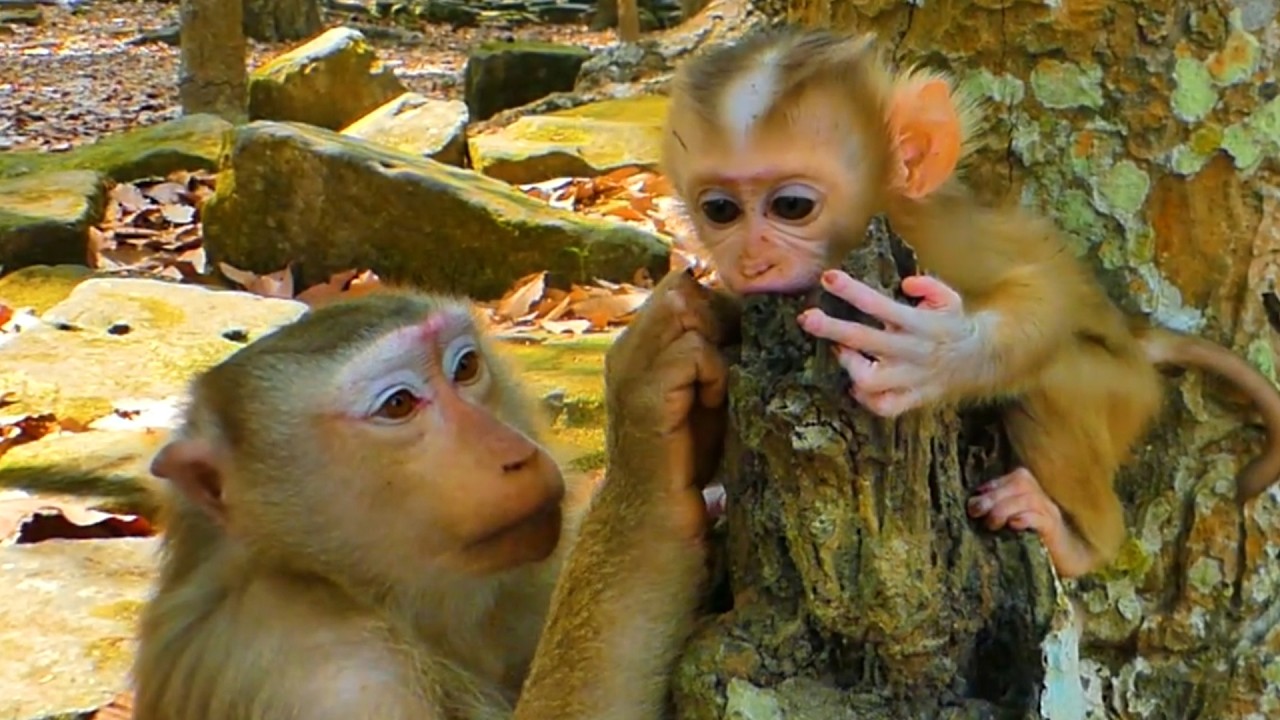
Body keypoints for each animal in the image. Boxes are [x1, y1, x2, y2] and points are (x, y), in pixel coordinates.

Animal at [659, 27, 1280, 578]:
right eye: (720, 211)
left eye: (791, 206)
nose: (751, 260)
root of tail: (1135, 338)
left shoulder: (937, 243)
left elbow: (1045, 297)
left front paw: (934, 354)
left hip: (1121, 391)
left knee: (1056, 380)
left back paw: (1084, 544)